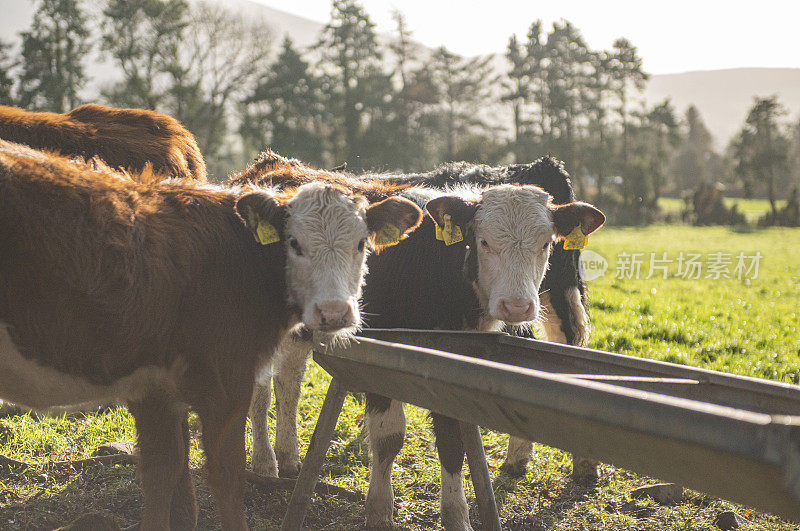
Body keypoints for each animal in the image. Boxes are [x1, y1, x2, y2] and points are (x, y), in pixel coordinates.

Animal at [0, 139, 424, 528]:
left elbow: (165, 478)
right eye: (293, 243)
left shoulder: (153, 388)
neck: (237, 256)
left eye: (361, 244)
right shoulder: (225, 382)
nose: (334, 312)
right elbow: (225, 477)